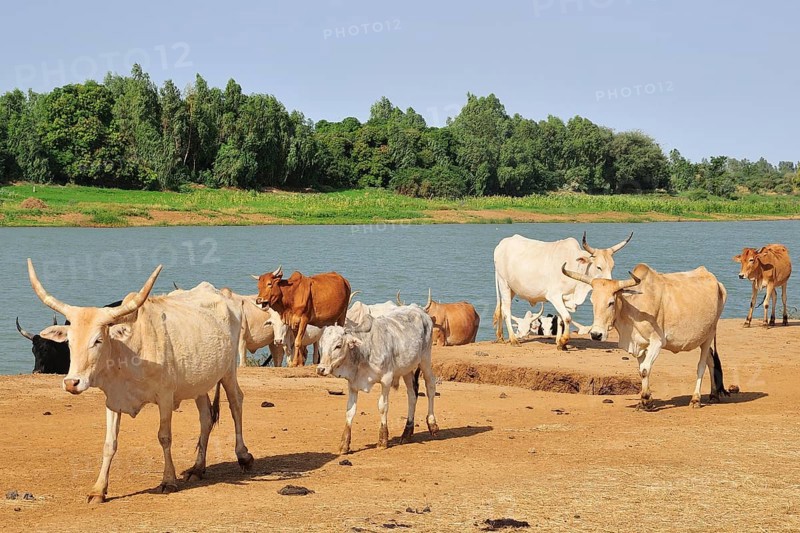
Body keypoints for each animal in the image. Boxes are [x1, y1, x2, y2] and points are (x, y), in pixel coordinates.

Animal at [26, 261, 253, 503]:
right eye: (69, 341)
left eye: (98, 340)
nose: (71, 383)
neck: (127, 351)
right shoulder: (113, 400)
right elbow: (109, 443)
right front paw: (98, 489)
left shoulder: (165, 397)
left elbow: (164, 436)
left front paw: (168, 480)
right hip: (199, 382)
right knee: (206, 417)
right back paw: (197, 468)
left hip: (228, 371)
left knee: (236, 403)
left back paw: (243, 456)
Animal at [316, 305, 439, 454]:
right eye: (321, 345)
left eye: (338, 346)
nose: (321, 369)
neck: (364, 351)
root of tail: (419, 309)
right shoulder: (353, 384)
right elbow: (350, 411)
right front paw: (344, 444)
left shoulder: (386, 379)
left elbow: (382, 407)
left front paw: (382, 440)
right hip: (407, 370)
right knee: (412, 396)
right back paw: (407, 432)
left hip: (425, 359)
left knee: (430, 386)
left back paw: (432, 424)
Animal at [494, 231, 632, 350]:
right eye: (599, 267)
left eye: (612, 266)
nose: (609, 285)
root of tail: (501, 245)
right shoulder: (554, 296)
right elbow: (567, 317)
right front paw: (564, 341)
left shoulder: (564, 298)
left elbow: (560, 320)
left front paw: (559, 343)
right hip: (504, 284)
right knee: (506, 310)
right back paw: (513, 340)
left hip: (511, 290)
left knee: (501, 308)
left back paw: (500, 337)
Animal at [562, 262, 728, 410]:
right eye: (592, 302)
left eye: (611, 302)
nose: (596, 334)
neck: (633, 309)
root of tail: (716, 282)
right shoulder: (638, 344)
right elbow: (641, 370)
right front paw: (645, 400)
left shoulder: (657, 342)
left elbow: (645, 369)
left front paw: (646, 401)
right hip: (702, 337)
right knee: (711, 361)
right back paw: (714, 395)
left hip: (709, 334)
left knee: (701, 365)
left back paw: (695, 399)